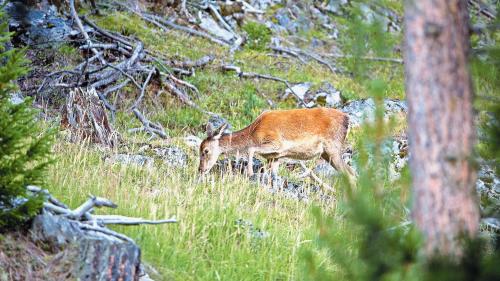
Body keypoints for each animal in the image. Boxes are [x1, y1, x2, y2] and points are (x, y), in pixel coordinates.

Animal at [197, 107, 354, 179]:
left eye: (205, 151)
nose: (200, 169)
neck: (254, 133)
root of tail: (347, 119)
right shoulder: (275, 156)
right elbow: (273, 173)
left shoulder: (276, 143)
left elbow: (251, 149)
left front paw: (250, 172)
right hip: (327, 154)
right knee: (351, 172)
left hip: (333, 147)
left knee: (350, 173)